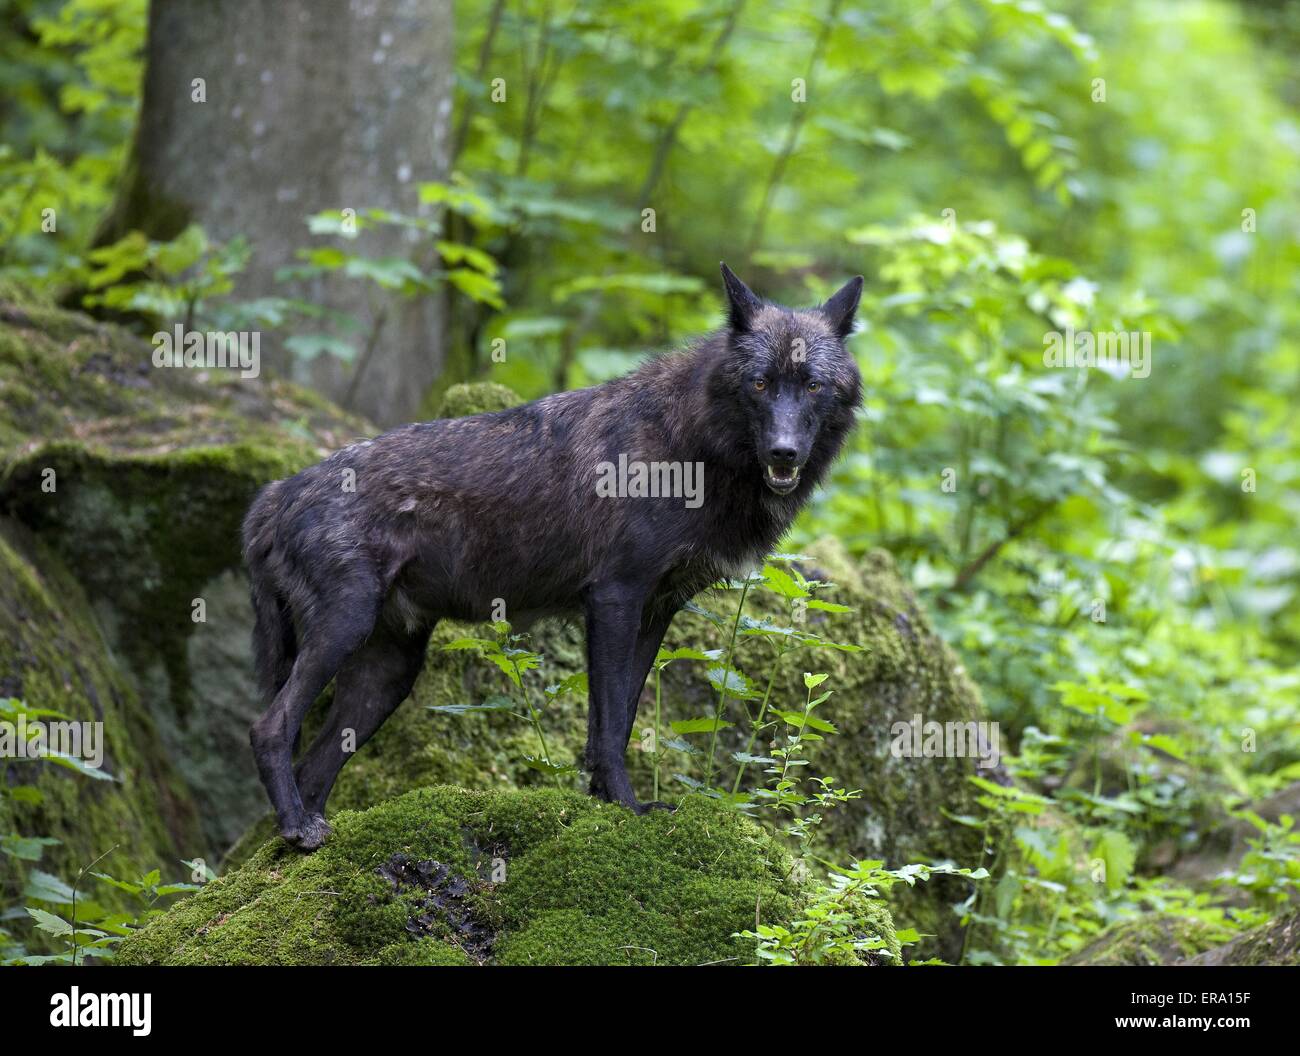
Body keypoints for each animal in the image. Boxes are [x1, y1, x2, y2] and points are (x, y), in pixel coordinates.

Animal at [242, 264, 862, 849]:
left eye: (812, 385)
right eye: (760, 383)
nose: (784, 453)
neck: (691, 444)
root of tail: (275, 493)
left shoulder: (656, 611)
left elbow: (617, 720)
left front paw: (603, 806)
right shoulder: (614, 598)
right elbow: (608, 729)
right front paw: (628, 810)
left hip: (389, 672)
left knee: (313, 764)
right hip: (346, 628)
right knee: (269, 728)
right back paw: (297, 828)